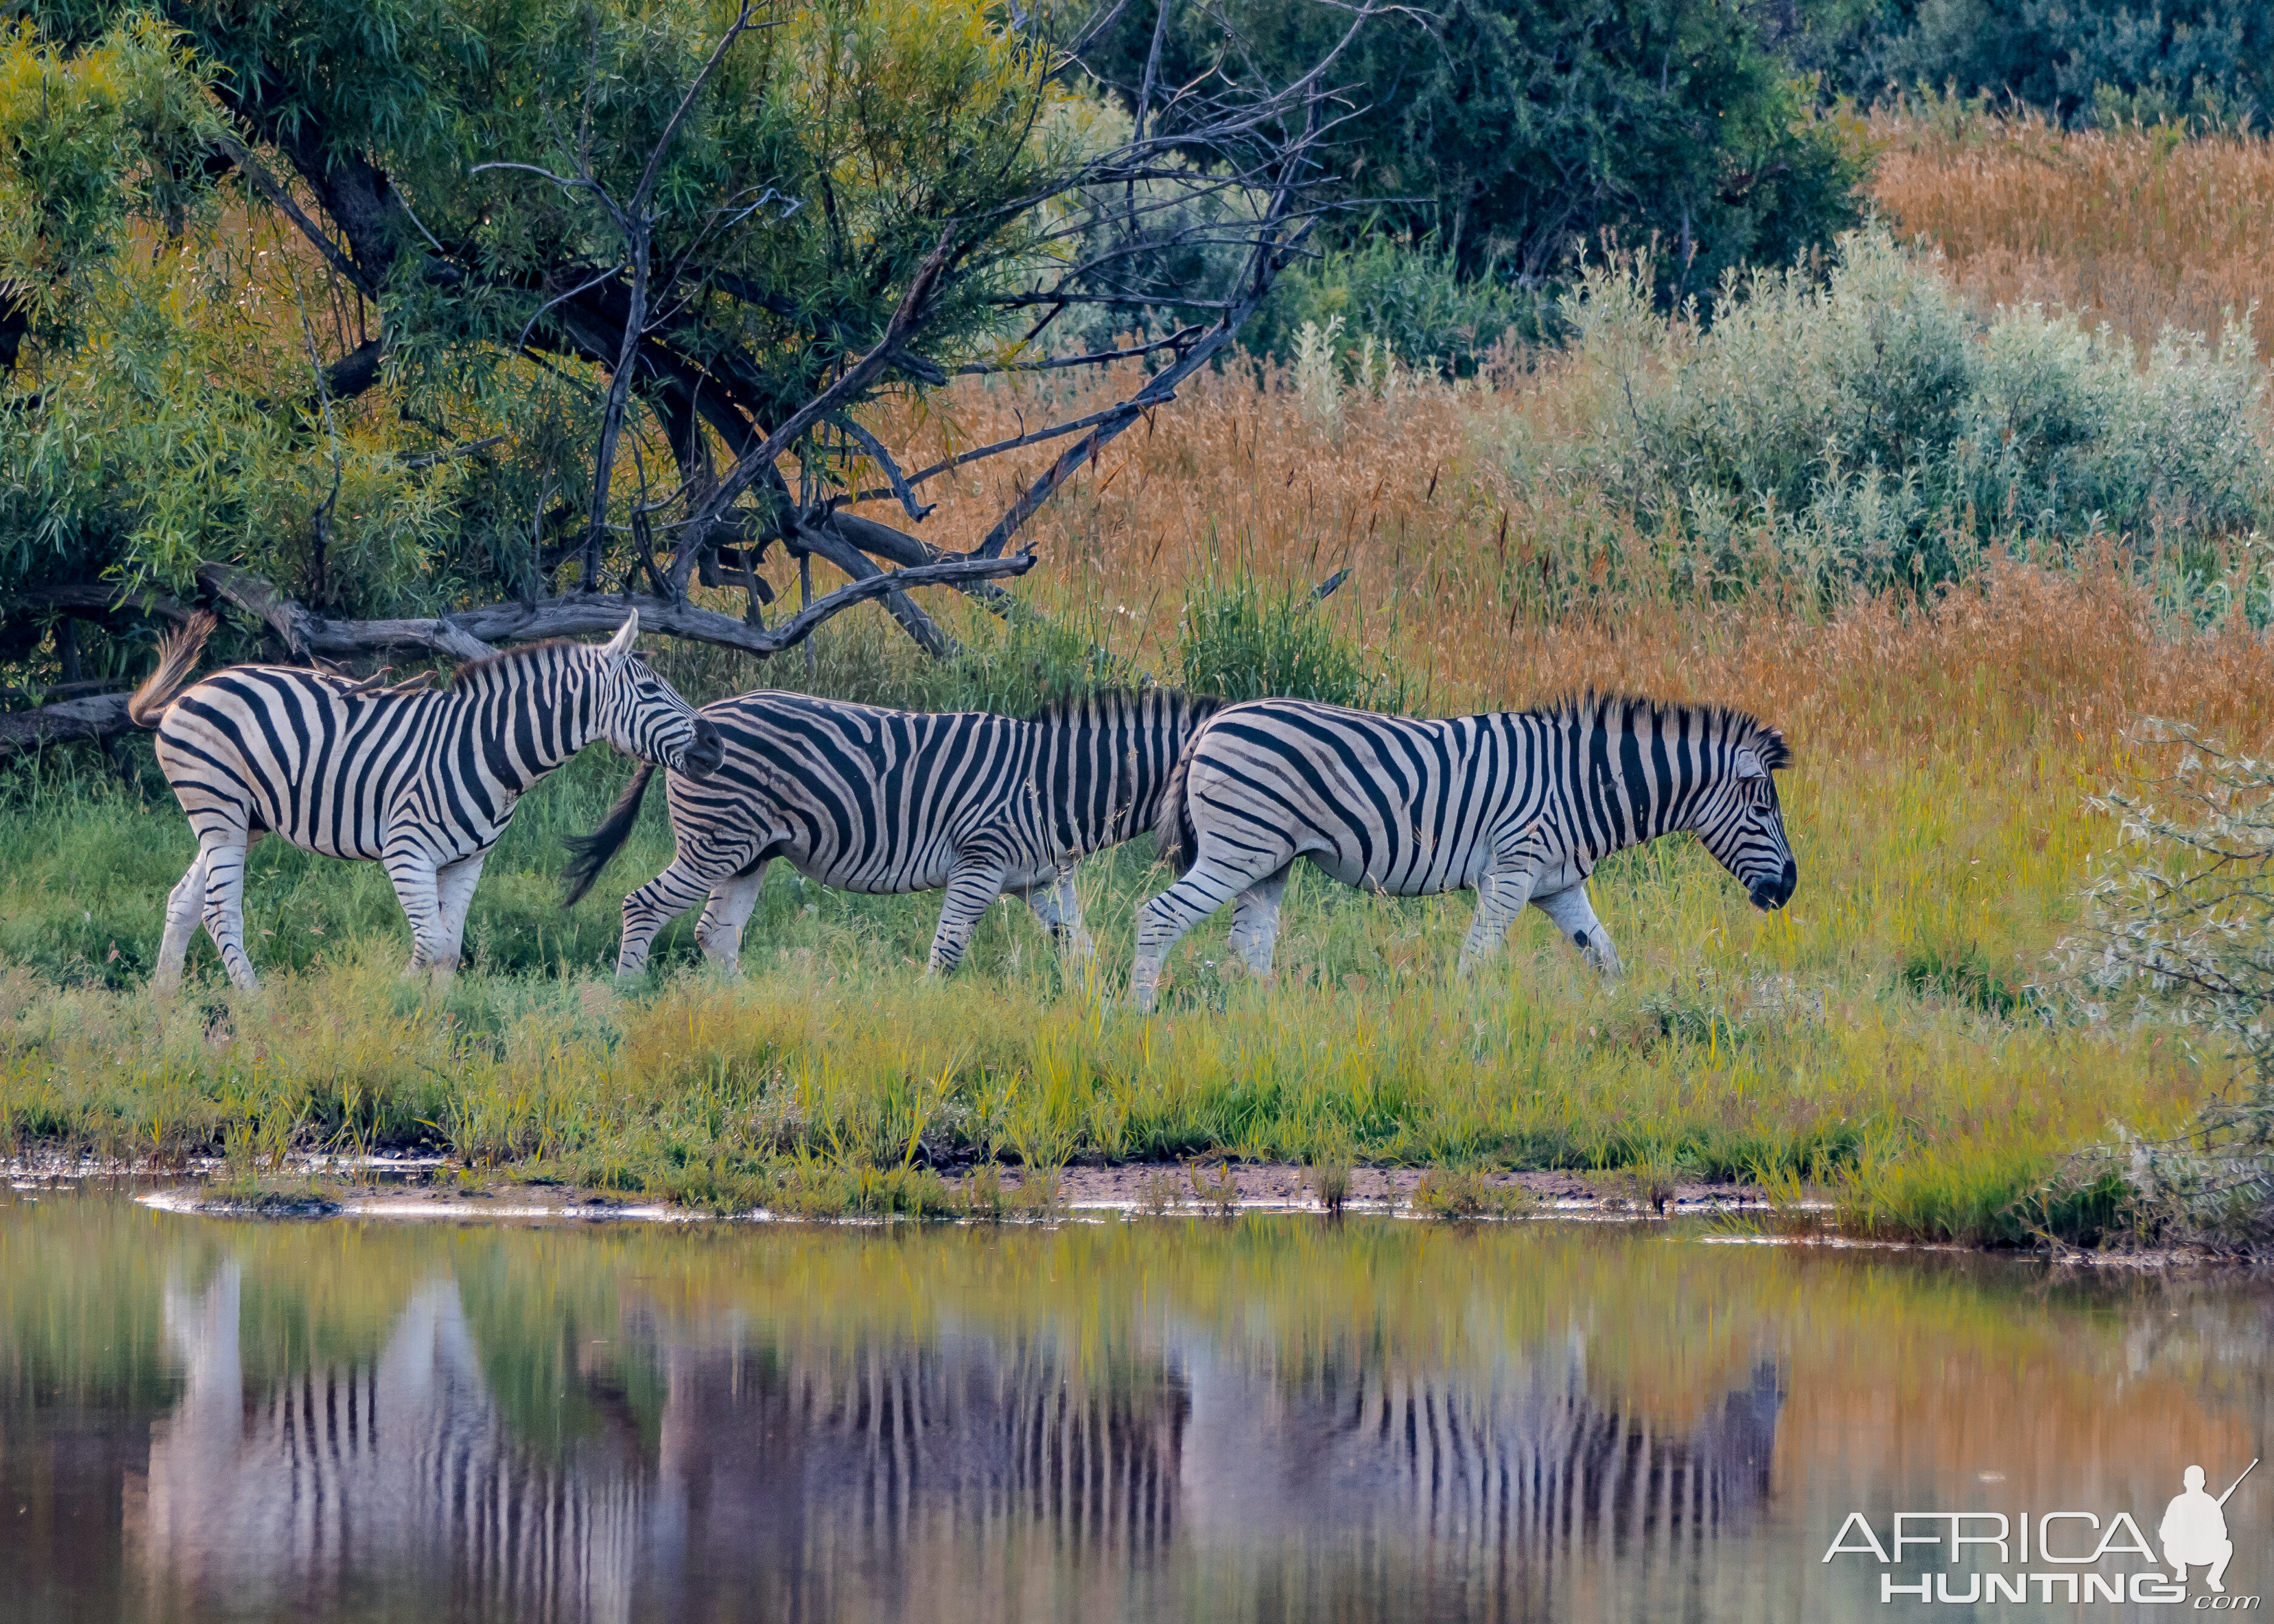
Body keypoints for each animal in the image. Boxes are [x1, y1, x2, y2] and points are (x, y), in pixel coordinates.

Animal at [133, 609, 718, 987]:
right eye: (649, 691)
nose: (714, 742)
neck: (488, 751)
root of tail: (192, 692)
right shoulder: (406, 852)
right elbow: (432, 946)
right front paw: (394, 1005)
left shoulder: (467, 860)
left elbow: (451, 950)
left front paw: (438, 1027)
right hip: (220, 809)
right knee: (219, 912)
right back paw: (256, 1007)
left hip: (246, 819)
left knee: (184, 903)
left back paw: (166, 1007)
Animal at [557, 682, 1219, 973]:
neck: (1057, 783)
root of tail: (698, 719)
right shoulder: (980, 861)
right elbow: (947, 951)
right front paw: (930, 1025)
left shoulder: (1043, 881)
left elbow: (1079, 951)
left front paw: (1095, 1023)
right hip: (713, 844)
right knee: (642, 905)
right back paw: (627, 998)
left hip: (747, 852)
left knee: (714, 933)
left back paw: (736, 1012)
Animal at [1132, 687, 1791, 1010]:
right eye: (1762, 812)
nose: (1787, 890)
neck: (1583, 782)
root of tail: (1211, 723)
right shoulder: (1511, 872)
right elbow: (1476, 963)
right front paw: (1464, 1036)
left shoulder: (1559, 886)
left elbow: (1607, 960)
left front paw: (1625, 1023)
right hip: (1236, 849)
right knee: (1159, 916)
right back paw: (1140, 1016)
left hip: (1267, 861)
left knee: (1248, 948)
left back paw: (1259, 1029)